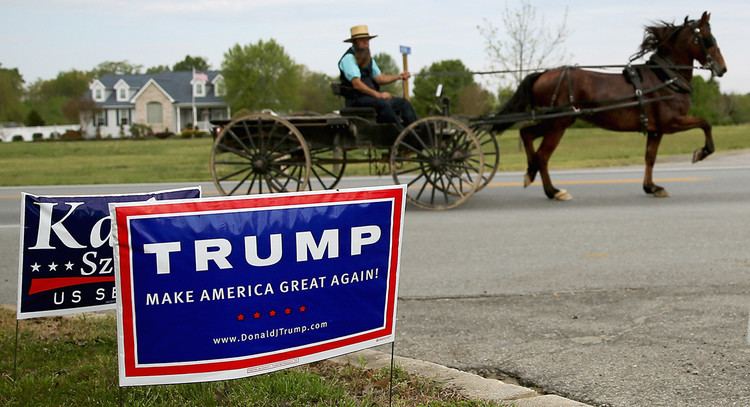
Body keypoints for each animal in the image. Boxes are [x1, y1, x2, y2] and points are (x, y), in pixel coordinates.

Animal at [494, 12, 728, 202]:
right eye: (708, 38)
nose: (723, 68)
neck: (666, 78)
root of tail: (543, 74)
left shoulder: (656, 130)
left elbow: (650, 157)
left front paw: (651, 187)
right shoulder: (671, 123)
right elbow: (705, 123)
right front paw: (702, 152)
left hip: (554, 121)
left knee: (526, 134)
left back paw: (530, 172)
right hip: (558, 123)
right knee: (542, 155)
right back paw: (553, 191)